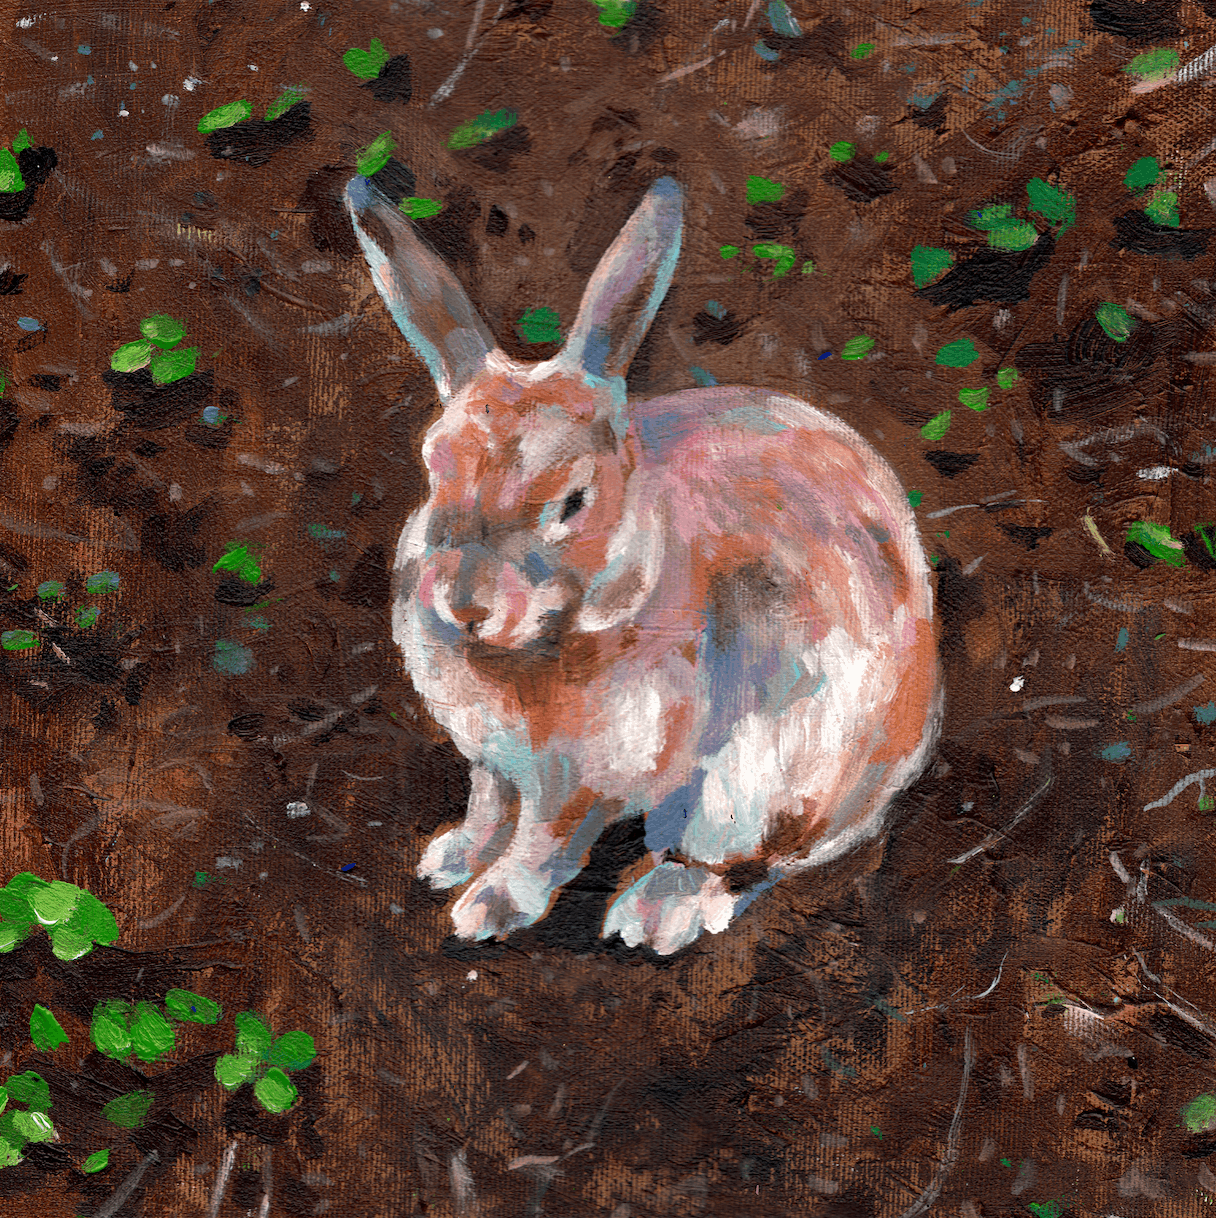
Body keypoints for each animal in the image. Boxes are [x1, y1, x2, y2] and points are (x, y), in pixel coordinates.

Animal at [345, 171, 943, 955]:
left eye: (573, 501)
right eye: (432, 467)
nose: (466, 604)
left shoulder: (585, 780)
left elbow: (543, 845)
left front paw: (489, 907)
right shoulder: (494, 761)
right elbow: (488, 806)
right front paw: (451, 857)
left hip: (759, 788)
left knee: (742, 864)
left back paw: (654, 913)